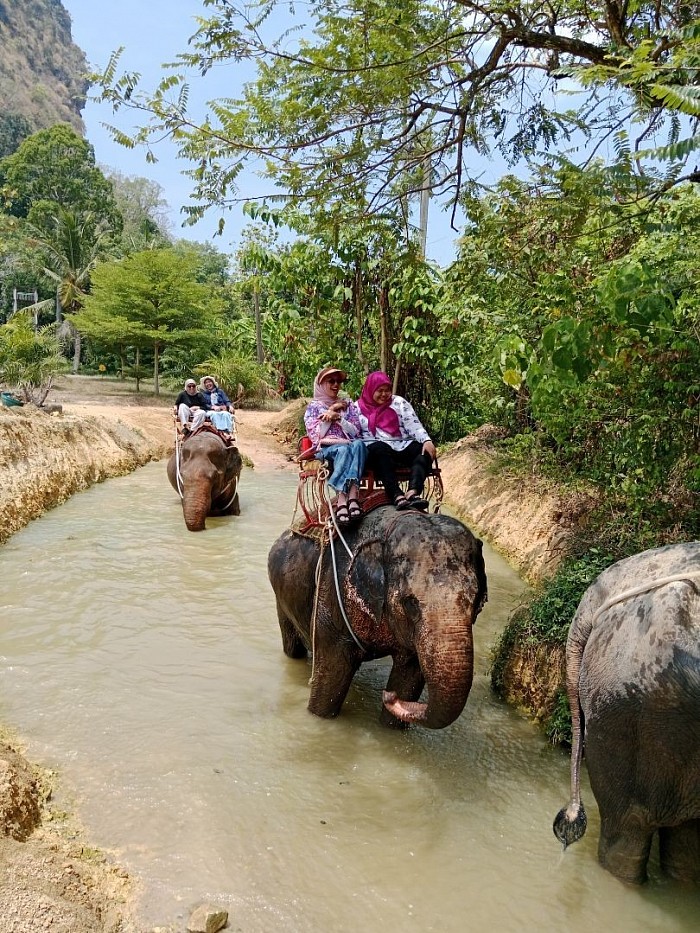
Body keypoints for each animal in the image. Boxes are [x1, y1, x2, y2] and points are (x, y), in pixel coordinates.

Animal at [268, 502, 486, 728]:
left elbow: (410, 674)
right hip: (281, 598)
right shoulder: (332, 594)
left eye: (476, 601)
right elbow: (332, 673)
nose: (389, 696)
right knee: (292, 645)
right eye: (411, 603)